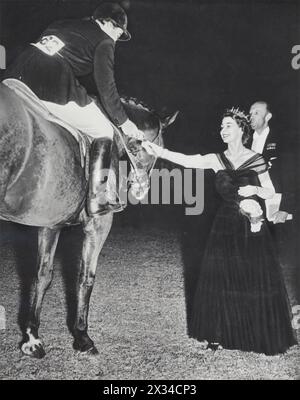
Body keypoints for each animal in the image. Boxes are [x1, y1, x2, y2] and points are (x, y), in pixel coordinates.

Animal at [0, 82, 178, 360]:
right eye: (156, 151)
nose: (140, 189)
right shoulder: (99, 224)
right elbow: (86, 277)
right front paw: (83, 337)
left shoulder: (51, 222)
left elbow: (42, 275)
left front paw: (32, 338)